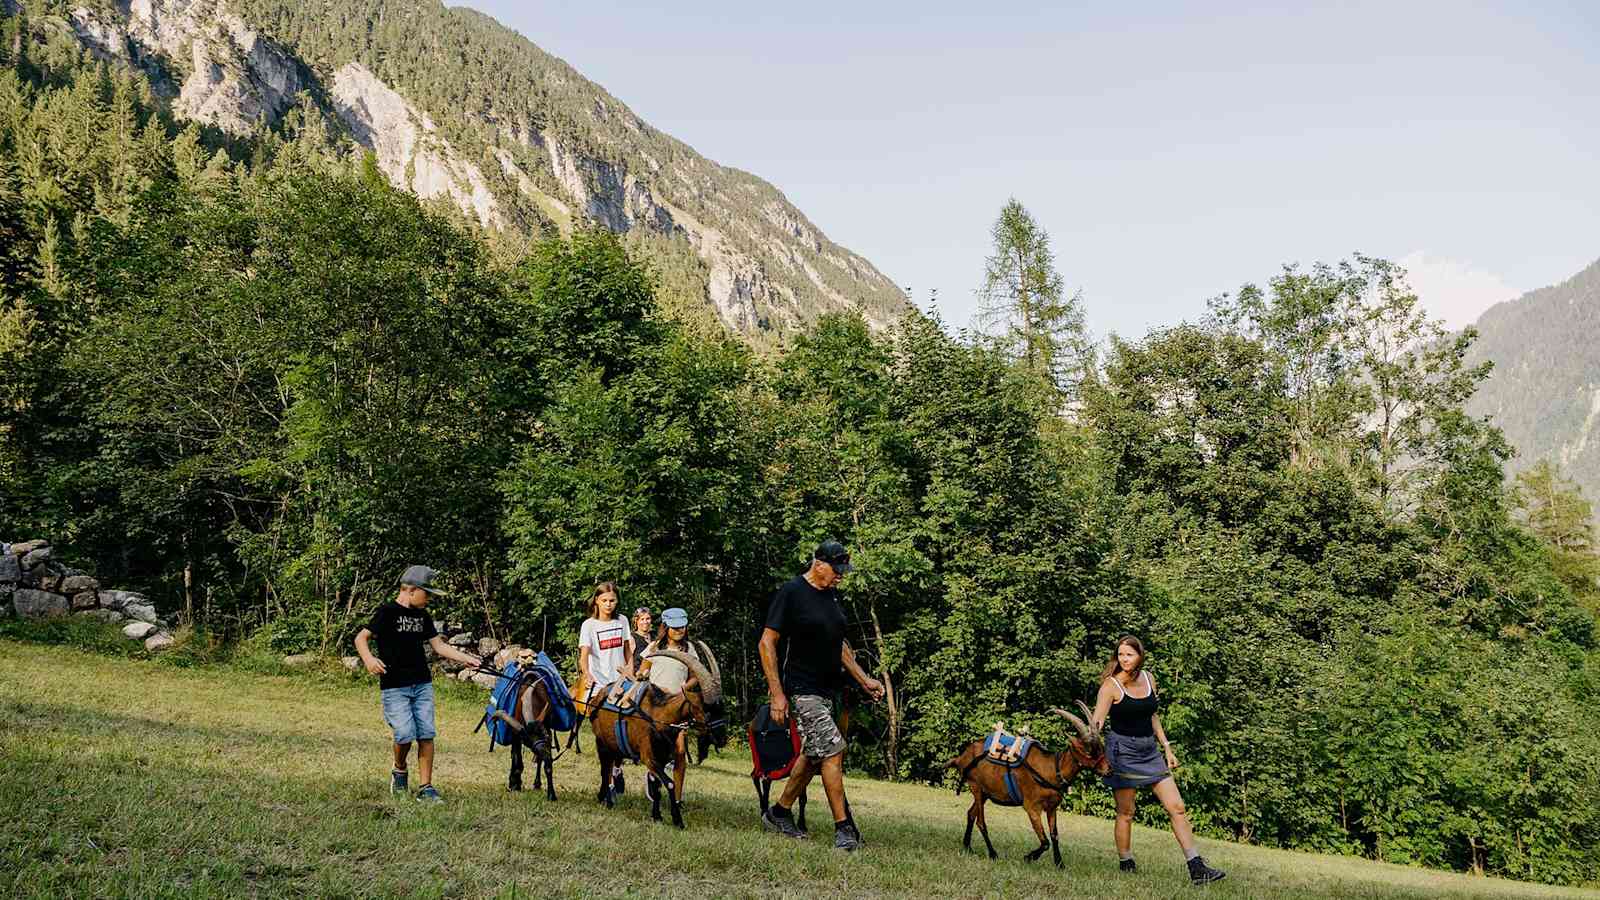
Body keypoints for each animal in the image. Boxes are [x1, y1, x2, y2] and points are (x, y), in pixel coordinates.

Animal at [588, 637, 726, 826]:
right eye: (707, 711)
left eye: (722, 709)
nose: (722, 739)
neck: (657, 717)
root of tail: (599, 696)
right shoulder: (648, 756)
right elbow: (670, 784)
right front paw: (677, 820)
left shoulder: (661, 757)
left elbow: (656, 786)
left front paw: (657, 816)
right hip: (601, 742)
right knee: (605, 769)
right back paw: (606, 800)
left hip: (615, 745)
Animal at [940, 701, 1107, 864]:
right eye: (1089, 751)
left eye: (1101, 748)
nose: (1108, 769)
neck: (1052, 769)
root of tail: (961, 757)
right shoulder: (1032, 806)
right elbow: (1045, 842)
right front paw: (1029, 857)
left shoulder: (1052, 807)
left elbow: (1054, 836)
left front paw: (1059, 864)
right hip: (976, 787)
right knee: (980, 822)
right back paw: (992, 853)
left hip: (985, 792)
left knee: (970, 814)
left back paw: (967, 847)